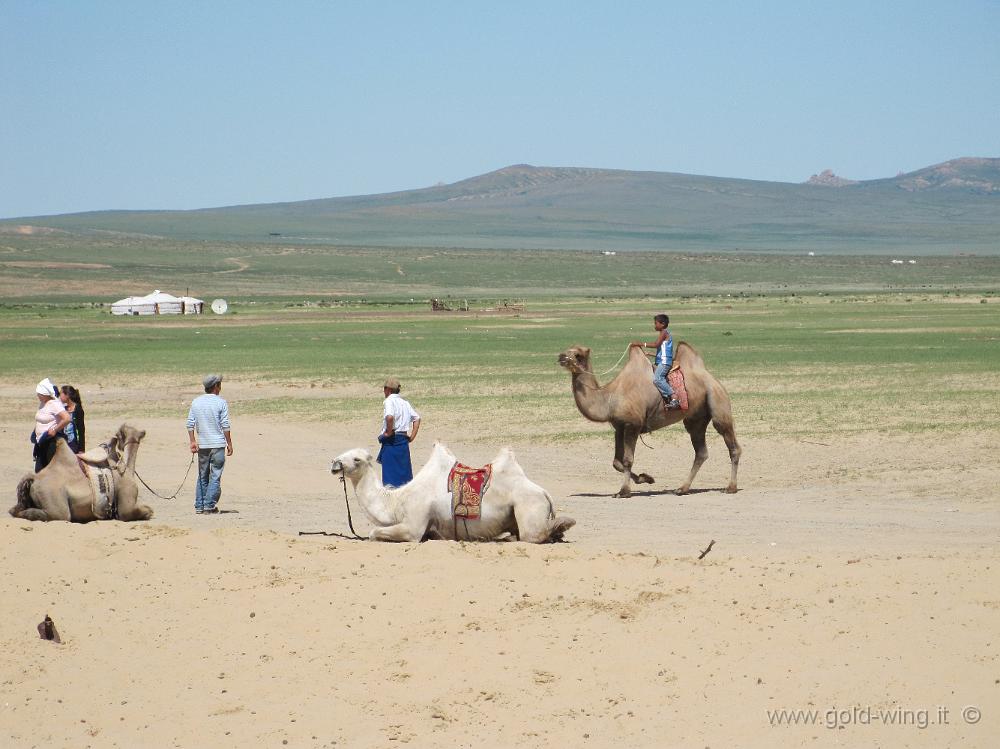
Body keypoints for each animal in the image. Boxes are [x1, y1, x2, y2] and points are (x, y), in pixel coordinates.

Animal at [332, 442, 576, 540]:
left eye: (356, 459)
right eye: (343, 454)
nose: (334, 463)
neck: (396, 501)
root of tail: (544, 492)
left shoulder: (414, 524)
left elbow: (374, 533)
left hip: (529, 505)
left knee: (533, 535)